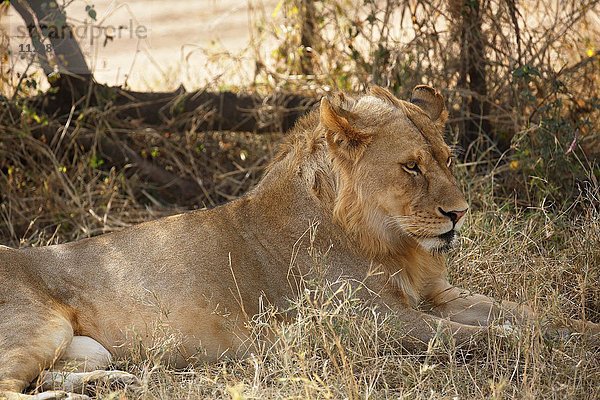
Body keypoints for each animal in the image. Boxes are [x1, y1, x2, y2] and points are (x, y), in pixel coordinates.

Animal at [0, 85, 596, 400]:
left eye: (448, 160)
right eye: (411, 167)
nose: (459, 214)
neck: (390, 243)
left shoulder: (436, 296)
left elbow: (526, 314)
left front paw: (578, 332)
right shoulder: (367, 322)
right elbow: (478, 336)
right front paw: (525, 346)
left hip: (84, 346)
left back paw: (115, 380)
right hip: (39, 325)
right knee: (13, 388)